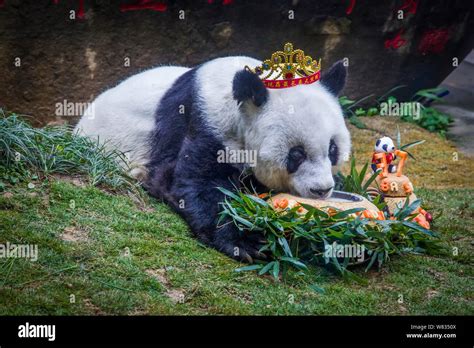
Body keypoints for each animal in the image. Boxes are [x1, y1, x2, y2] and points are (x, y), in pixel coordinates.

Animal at [75, 55, 352, 260]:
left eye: (333, 149)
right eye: (296, 154)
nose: (321, 190)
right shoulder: (204, 123)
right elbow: (192, 184)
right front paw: (246, 242)